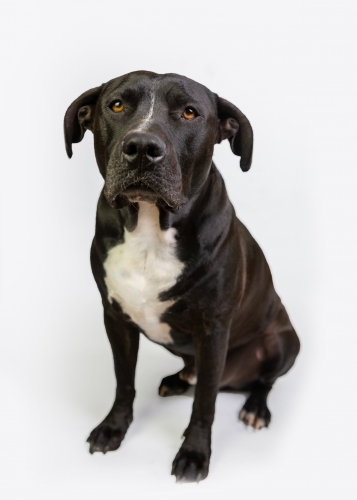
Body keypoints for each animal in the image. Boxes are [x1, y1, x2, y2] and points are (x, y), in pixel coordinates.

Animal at [63, 70, 298, 480]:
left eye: (190, 113)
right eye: (116, 105)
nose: (142, 147)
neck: (150, 229)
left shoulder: (214, 330)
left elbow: (205, 403)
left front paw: (194, 453)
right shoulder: (116, 319)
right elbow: (124, 381)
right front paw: (113, 428)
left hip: (285, 341)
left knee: (258, 381)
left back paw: (255, 407)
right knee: (197, 375)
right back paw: (178, 381)